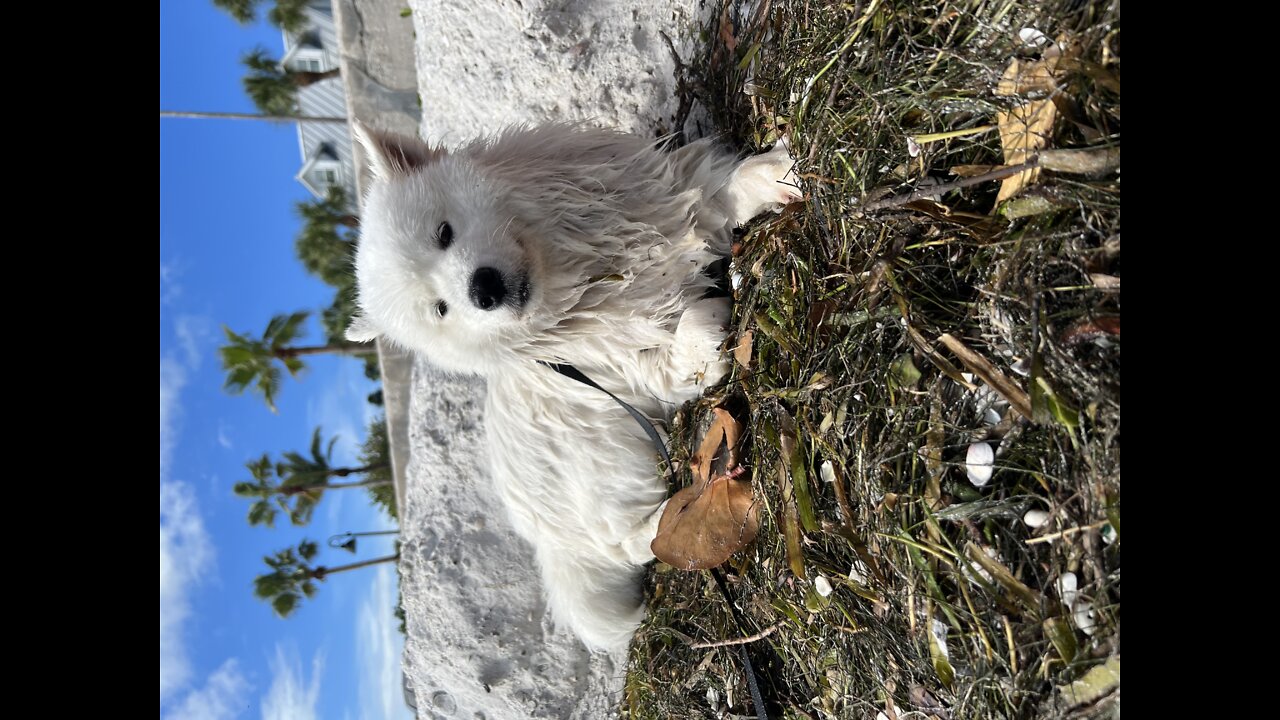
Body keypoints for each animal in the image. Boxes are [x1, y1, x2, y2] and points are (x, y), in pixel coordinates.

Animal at [345, 122, 793, 650]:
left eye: (444, 233)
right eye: (441, 309)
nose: (484, 290)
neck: (576, 270)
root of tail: (550, 542)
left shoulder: (673, 199)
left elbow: (727, 188)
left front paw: (777, 174)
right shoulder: (634, 364)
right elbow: (684, 343)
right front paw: (711, 329)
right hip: (615, 463)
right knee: (627, 541)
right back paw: (677, 514)